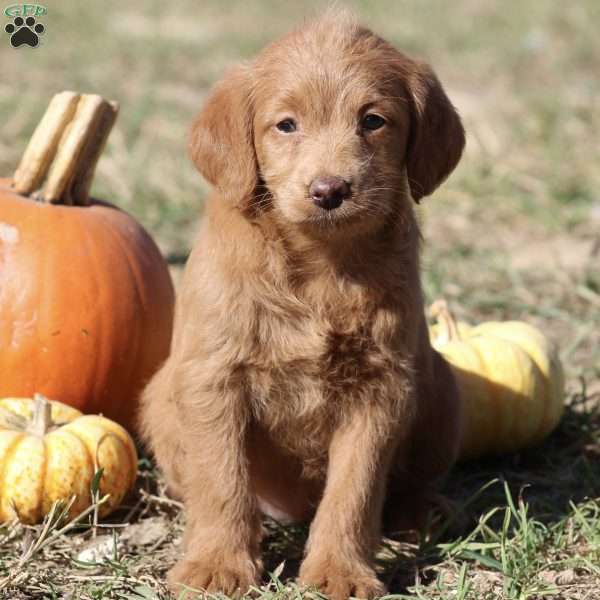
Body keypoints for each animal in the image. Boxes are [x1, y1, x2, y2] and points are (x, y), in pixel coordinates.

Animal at [139, 10, 464, 600]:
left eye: (373, 120)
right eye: (286, 125)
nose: (330, 190)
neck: (321, 266)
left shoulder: (381, 389)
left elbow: (354, 493)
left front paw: (339, 570)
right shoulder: (213, 378)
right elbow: (222, 480)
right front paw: (218, 564)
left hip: (442, 390)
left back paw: (422, 511)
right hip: (159, 398)